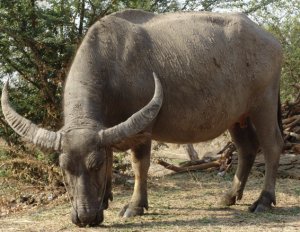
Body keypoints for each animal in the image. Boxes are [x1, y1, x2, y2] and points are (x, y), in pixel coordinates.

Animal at [1, 9, 284, 227]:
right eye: (64, 168)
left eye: (95, 166)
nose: (85, 217)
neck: (113, 66)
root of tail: (270, 39)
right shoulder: (107, 129)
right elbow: (112, 155)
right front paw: (106, 198)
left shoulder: (143, 129)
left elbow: (140, 165)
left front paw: (135, 206)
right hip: (237, 116)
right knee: (247, 149)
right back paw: (229, 196)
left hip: (264, 105)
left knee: (271, 146)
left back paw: (263, 200)